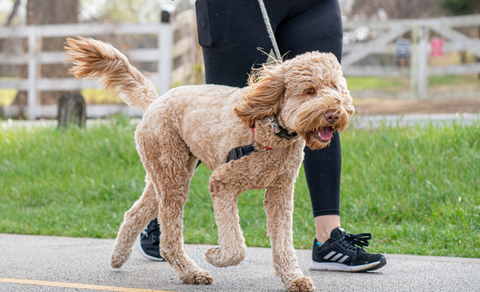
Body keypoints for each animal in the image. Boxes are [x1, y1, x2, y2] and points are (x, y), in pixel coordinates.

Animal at [65, 37, 354, 292]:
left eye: (335, 88)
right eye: (310, 91)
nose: (334, 113)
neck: (270, 127)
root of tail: (155, 101)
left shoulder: (280, 192)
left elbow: (283, 243)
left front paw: (294, 278)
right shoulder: (222, 183)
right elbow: (236, 247)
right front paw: (216, 255)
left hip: (167, 173)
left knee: (135, 213)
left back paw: (118, 257)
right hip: (172, 174)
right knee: (169, 238)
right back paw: (191, 272)